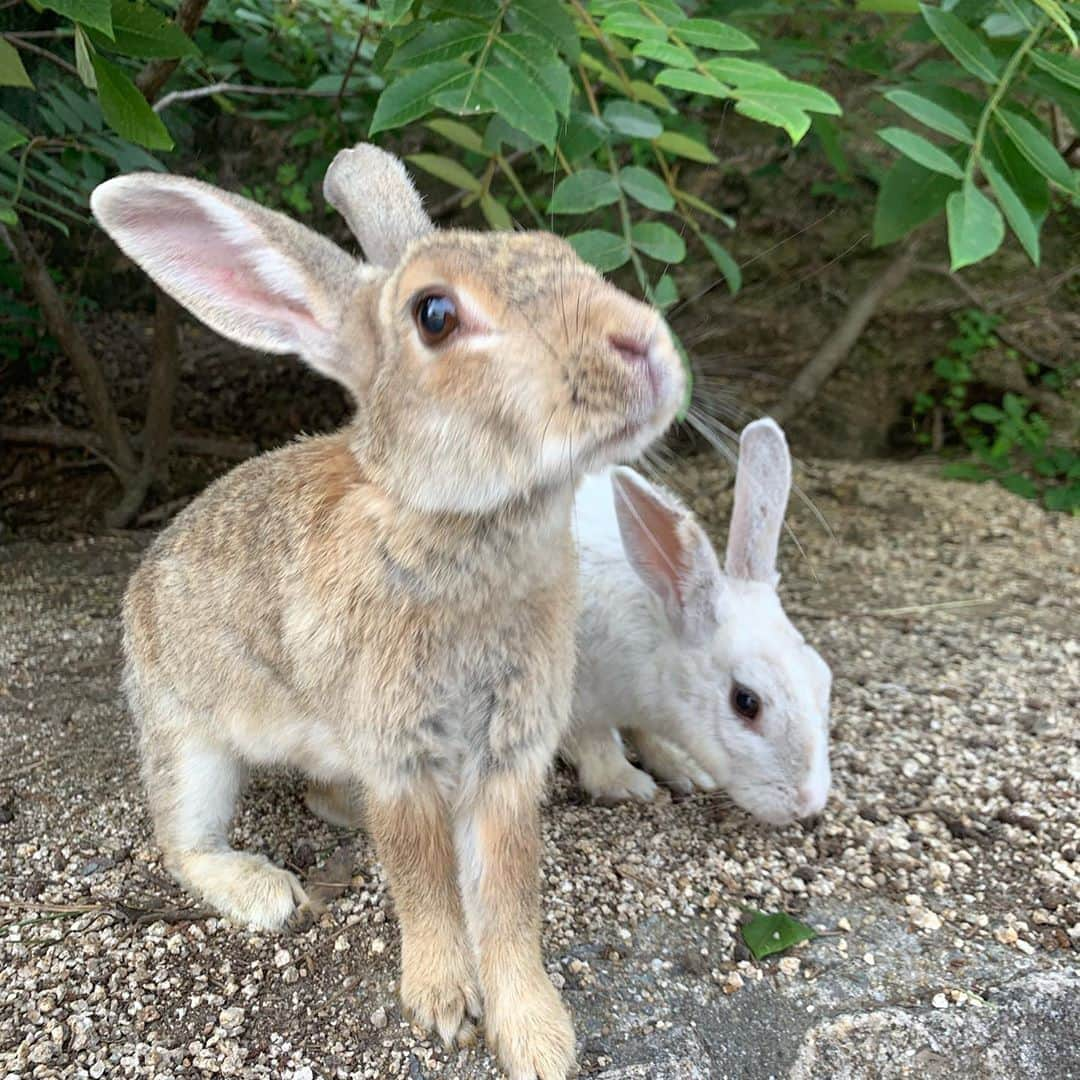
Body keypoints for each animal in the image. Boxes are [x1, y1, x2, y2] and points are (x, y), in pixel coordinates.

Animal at [95, 145, 682, 1080]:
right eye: (433, 315)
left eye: (562, 252)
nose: (645, 346)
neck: (460, 530)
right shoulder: (397, 752)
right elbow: (424, 881)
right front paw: (443, 1005)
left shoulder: (508, 754)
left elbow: (508, 902)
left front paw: (538, 1038)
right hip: (187, 734)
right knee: (183, 838)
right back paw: (264, 890)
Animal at [565, 416, 833, 820]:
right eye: (746, 701)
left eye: (823, 678)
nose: (809, 802)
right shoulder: (577, 698)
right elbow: (595, 740)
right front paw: (626, 784)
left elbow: (648, 736)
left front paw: (686, 770)